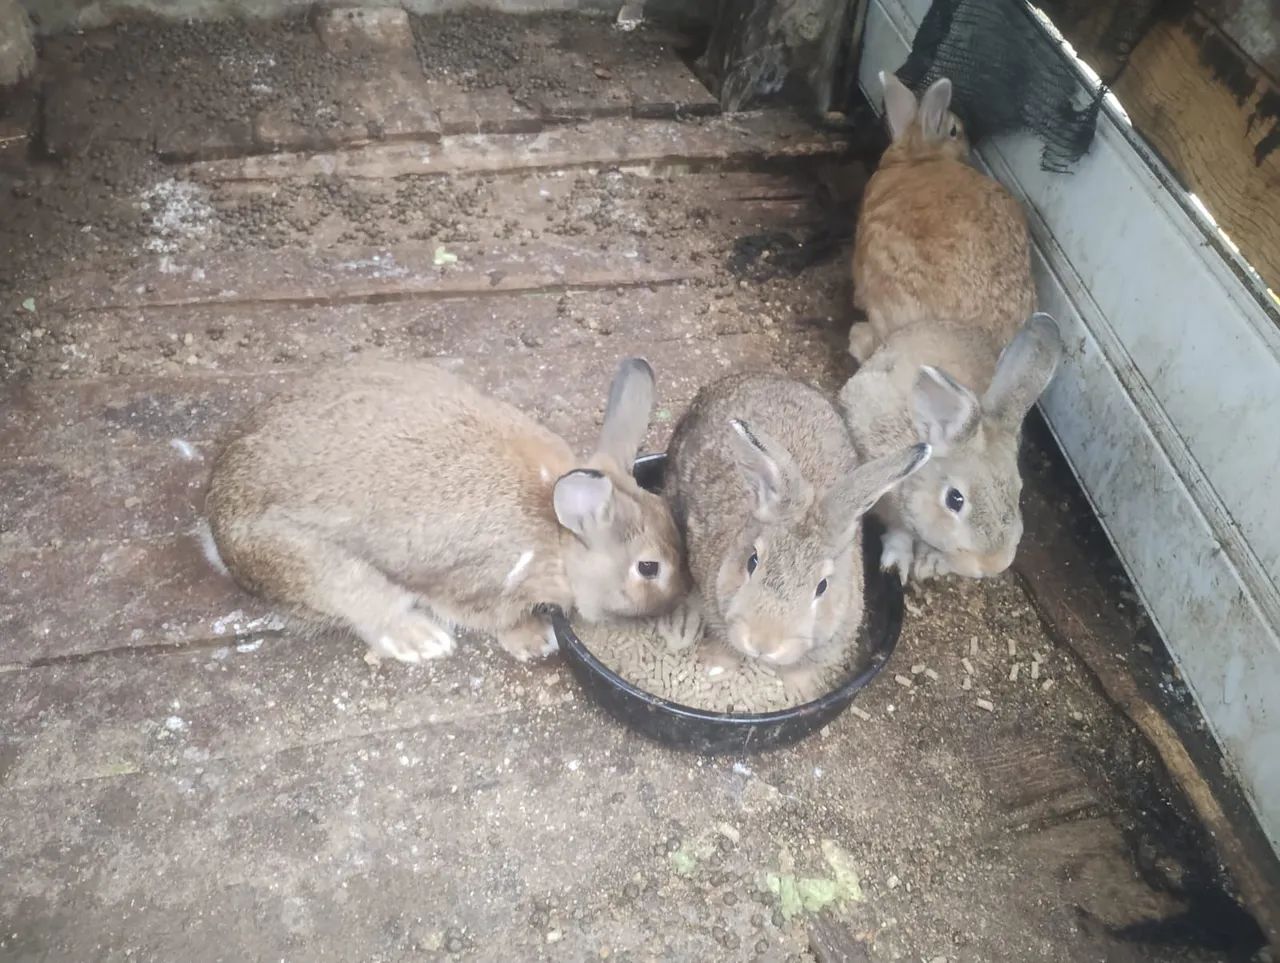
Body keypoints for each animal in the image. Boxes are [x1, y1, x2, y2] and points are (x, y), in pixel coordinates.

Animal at [204, 357, 686, 665]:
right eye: (648, 568)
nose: (678, 600)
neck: (558, 535)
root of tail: (217, 532)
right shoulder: (482, 589)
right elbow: (496, 620)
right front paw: (537, 640)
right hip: (331, 573)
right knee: (369, 614)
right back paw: (424, 641)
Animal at [839, 313, 1064, 583]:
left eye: (1018, 493)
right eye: (955, 500)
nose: (995, 563)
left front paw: (931, 564)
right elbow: (899, 533)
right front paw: (898, 564)